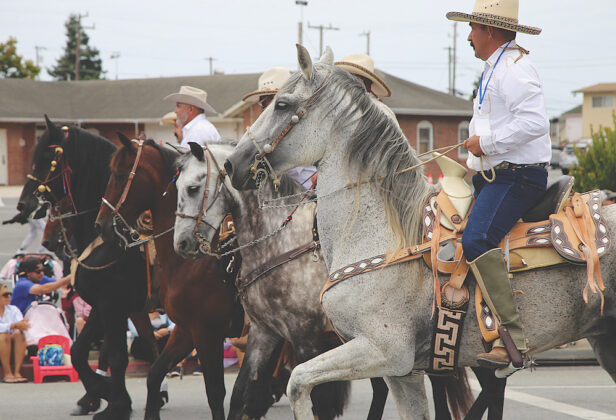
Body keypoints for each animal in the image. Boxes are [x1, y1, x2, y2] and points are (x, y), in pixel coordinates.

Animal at [16, 117, 158, 420]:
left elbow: (115, 355)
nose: (23, 203)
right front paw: (100, 393)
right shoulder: (104, 305)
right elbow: (81, 351)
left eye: (46, 159)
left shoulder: (114, 304)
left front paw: (115, 402)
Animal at [95, 135, 242, 420]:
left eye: (119, 175)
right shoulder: (185, 330)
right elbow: (154, 374)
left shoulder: (207, 332)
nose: (101, 225)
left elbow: (215, 393)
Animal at [221, 44, 616, 418]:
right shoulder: (402, 372)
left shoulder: (381, 350)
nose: (232, 164)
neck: (382, 235)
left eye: (282, 104)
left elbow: (298, 381)